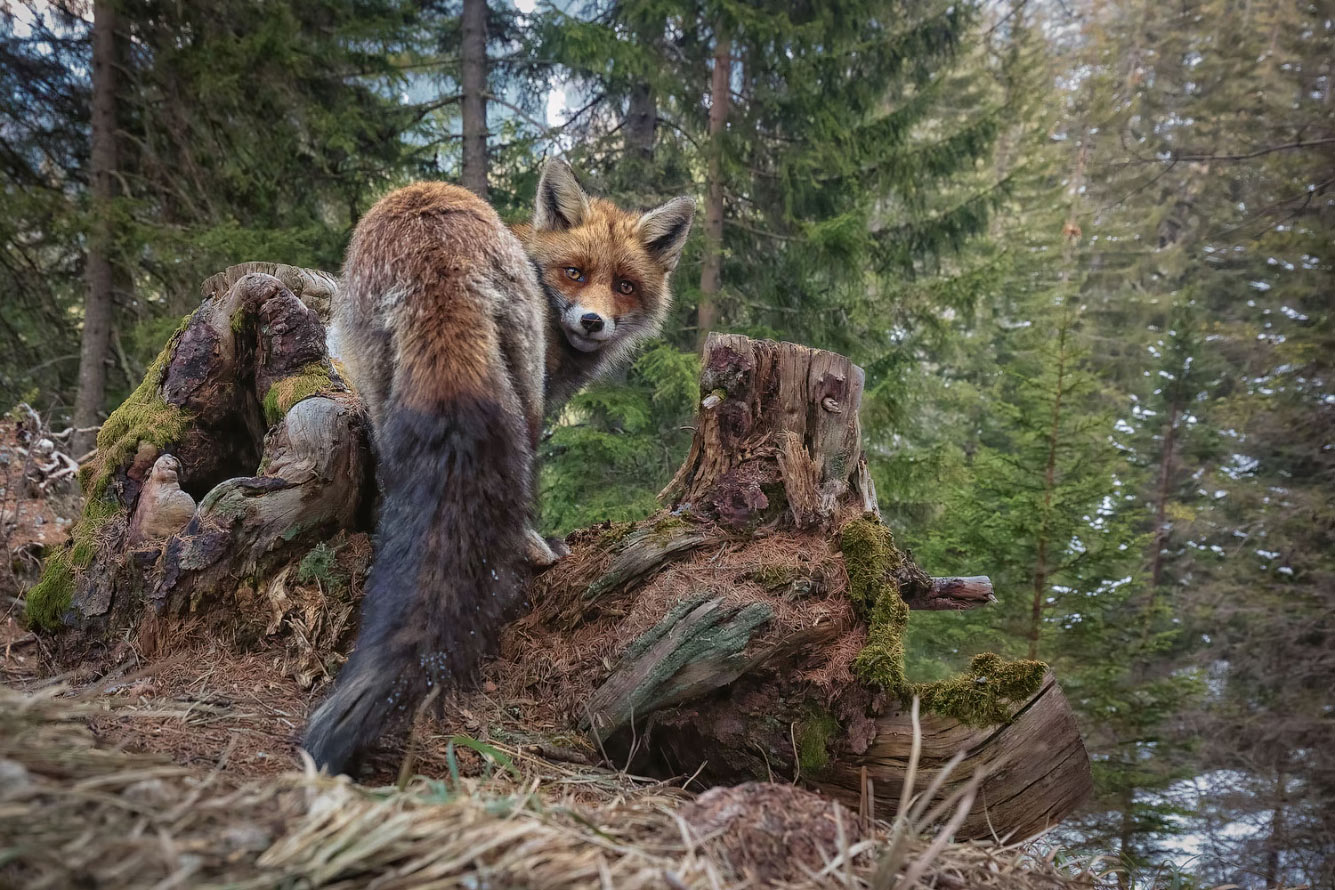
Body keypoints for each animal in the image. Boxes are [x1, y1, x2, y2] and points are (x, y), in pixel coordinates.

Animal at [304, 160, 699, 773]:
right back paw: (534, 551)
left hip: (381, 386)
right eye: (574, 272)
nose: (593, 322)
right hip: (522, 392)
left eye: (625, 286)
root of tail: (431, 244)